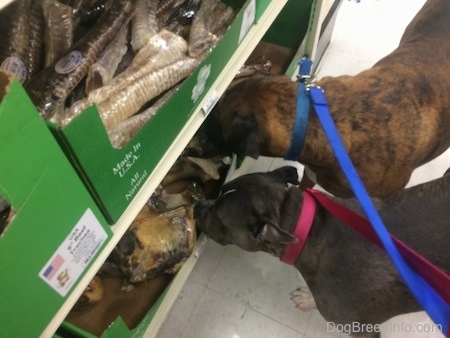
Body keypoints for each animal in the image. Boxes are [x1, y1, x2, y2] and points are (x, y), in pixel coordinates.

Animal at [193, 167, 450, 338]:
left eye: (220, 219)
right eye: (219, 191)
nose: (198, 206)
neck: (308, 228)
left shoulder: (362, 329)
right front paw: (309, 298)